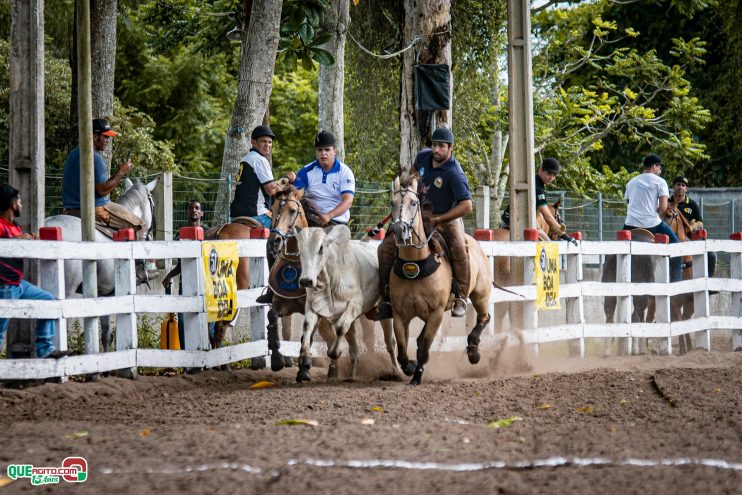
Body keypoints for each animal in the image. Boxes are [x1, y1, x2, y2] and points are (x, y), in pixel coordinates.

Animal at [294, 226, 396, 384]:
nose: (306, 281)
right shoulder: (312, 306)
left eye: (321, 248)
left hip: (384, 315)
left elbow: (340, 328)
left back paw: (397, 370)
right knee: (354, 348)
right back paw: (352, 376)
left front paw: (334, 352)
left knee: (390, 343)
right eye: (300, 250)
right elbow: (307, 327)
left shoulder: (355, 306)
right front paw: (304, 360)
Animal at [390, 175, 494, 388]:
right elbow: (403, 351)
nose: (399, 230)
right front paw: (410, 367)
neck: (415, 265)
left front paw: (417, 376)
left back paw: (473, 351)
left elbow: (424, 349)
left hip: (480, 295)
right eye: (392, 203)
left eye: (414, 203)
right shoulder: (399, 314)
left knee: (484, 318)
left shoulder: (436, 313)